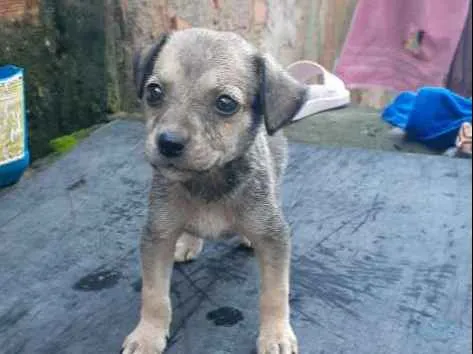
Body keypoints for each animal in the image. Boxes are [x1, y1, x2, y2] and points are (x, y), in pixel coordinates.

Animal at [121, 28, 306, 354]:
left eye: (226, 103)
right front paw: (147, 335)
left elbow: (275, 293)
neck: (207, 179)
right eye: (154, 92)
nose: (167, 143)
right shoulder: (157, 235)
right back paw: (187, 242)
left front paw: (276, 335)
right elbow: (154, 295)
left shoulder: (274, 238)